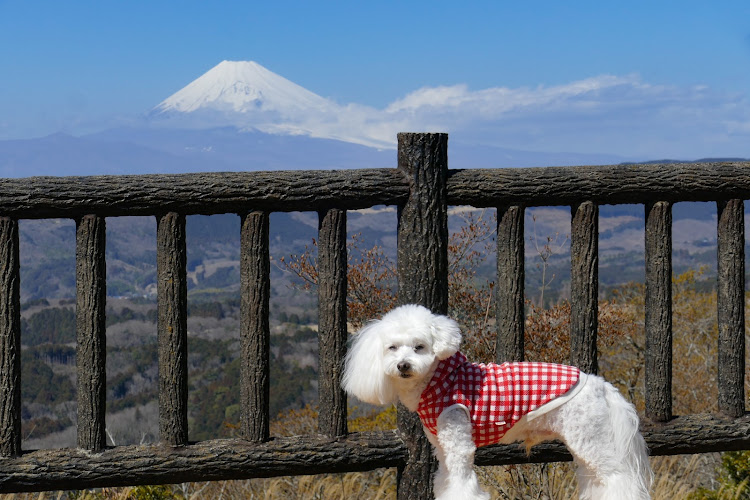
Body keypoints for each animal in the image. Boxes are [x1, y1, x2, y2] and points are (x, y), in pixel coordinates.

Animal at [344, 302, 656, 500]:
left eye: (419, 347)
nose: (403, 365)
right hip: (585, 441)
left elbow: (461, 485)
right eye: (392, 348)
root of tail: (600, 384)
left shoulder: (458, 443)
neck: (437, 381)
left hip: (592, 439)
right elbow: (446, 481)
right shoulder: (442, 449)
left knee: (618, 479)